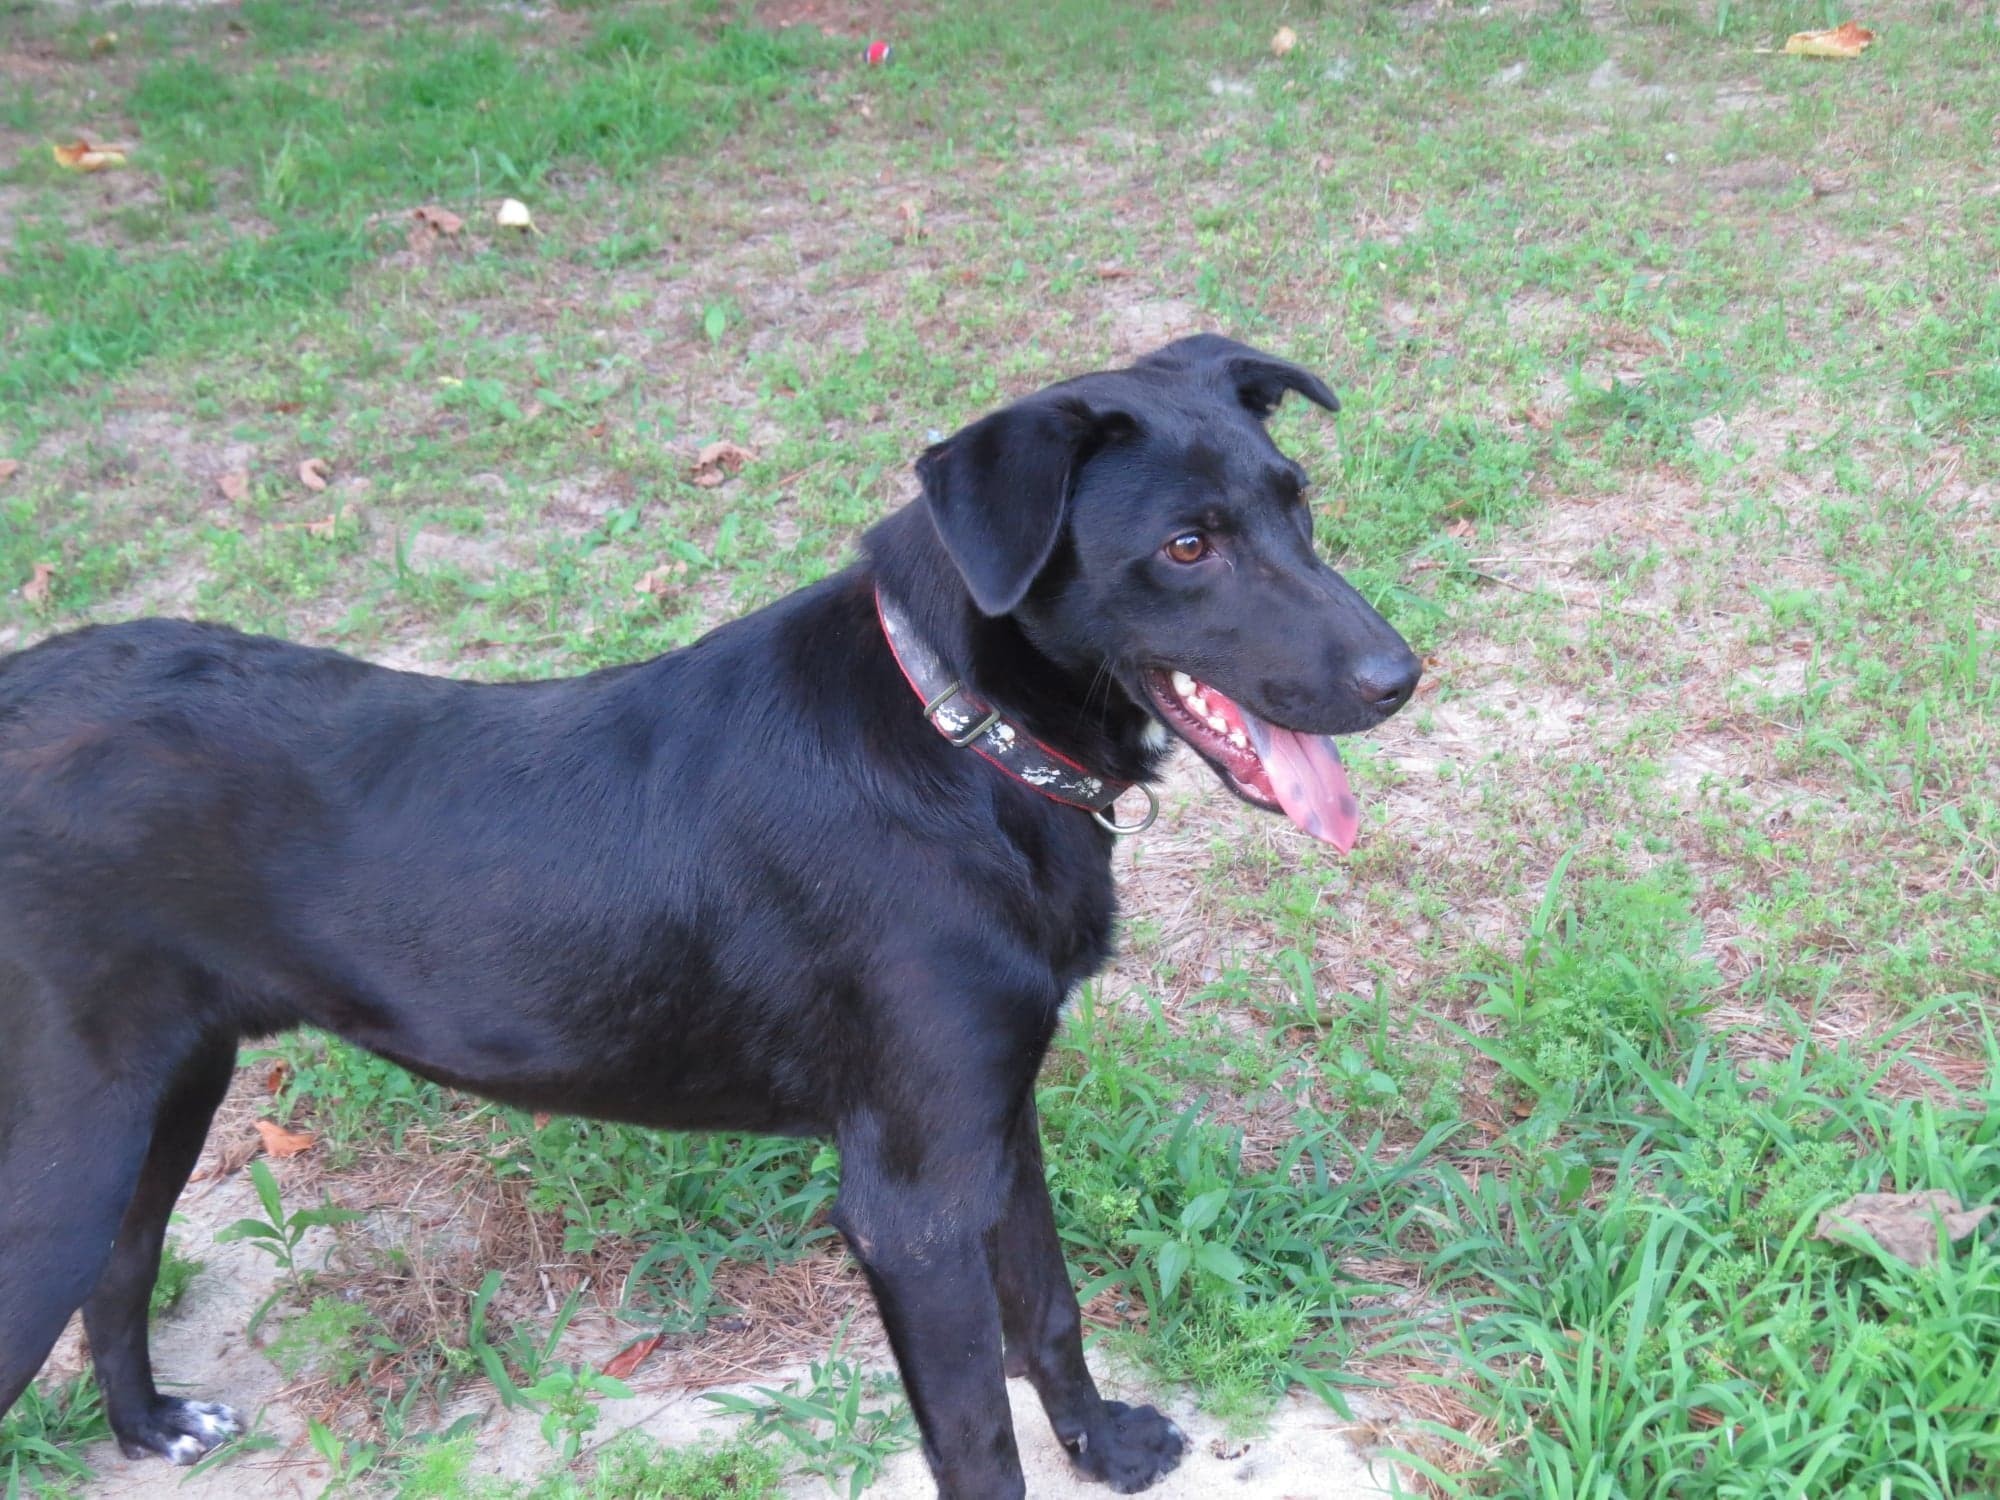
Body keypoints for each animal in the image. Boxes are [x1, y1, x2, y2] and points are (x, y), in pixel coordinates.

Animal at [0, 334, 1416, 1496]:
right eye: (1186, 547)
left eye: (1296, 501)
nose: (1399, 678)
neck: (956, 731)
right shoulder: (908, 1208)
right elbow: (974, 1442)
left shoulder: (991, 1122)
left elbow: (1051, 1312)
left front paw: (1107, 1449)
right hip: (68, 1146)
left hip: (162, 1093)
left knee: (120, 1273)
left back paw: (151, 1428)